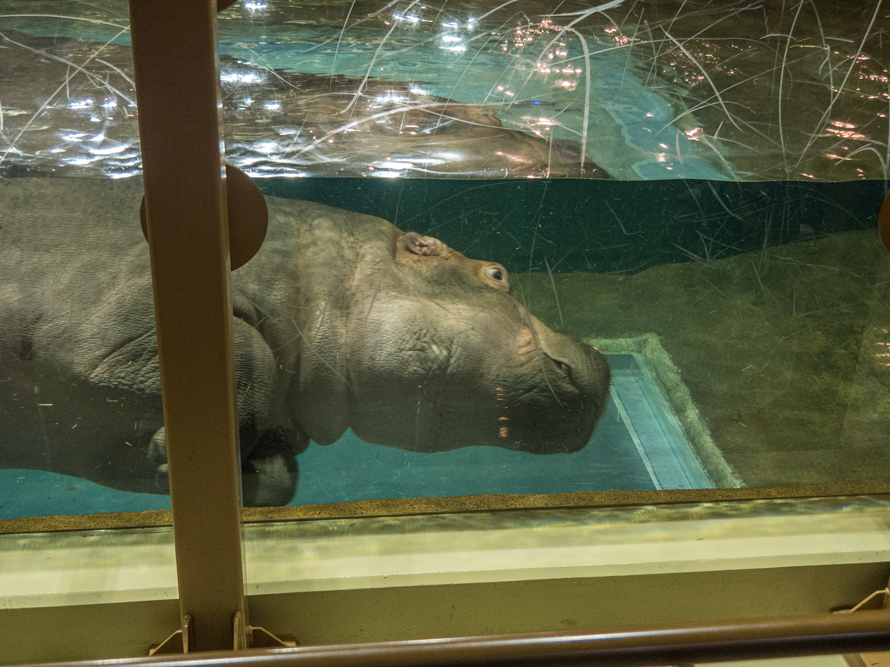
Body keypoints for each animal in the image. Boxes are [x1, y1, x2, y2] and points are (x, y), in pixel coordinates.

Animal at [0, 177, 612, 506]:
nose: (602, 359)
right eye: (497, 273)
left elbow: (283, 481)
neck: (331, 277)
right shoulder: (123, 303)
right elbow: (246, 354)